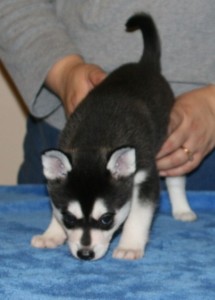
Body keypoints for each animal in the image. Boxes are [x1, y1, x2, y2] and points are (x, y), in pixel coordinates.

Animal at [30, 12, 197, 260]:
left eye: (106, 219)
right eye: (69, 219)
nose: (85, 254)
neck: (95, 138)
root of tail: (144, 65)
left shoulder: (145, 176)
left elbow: (138, 216)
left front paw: (130, 246)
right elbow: (54, 208)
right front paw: (52, 233)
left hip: (168, 136)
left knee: (177, 177)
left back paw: (182, 209)